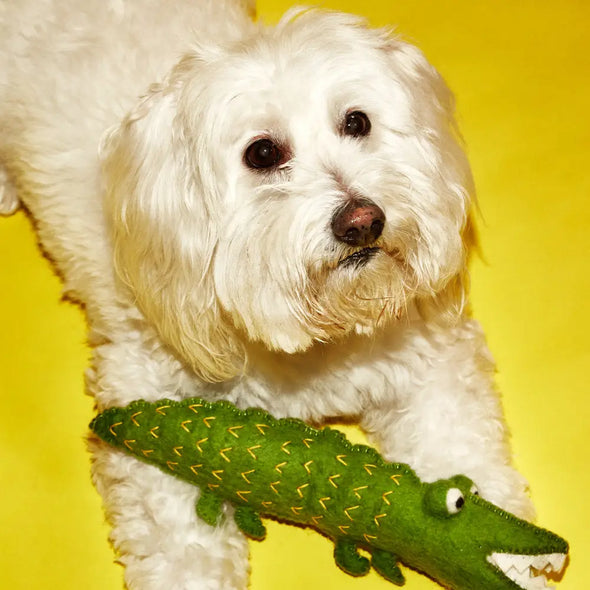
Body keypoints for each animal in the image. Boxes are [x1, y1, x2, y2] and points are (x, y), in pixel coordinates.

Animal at [0, 2, 536, 588]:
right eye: (262, 153)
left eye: (357, 122)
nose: (362, 221)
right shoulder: (150, 405)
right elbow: (180, 541)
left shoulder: (428, 365)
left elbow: (463, 456)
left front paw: (509, 556)